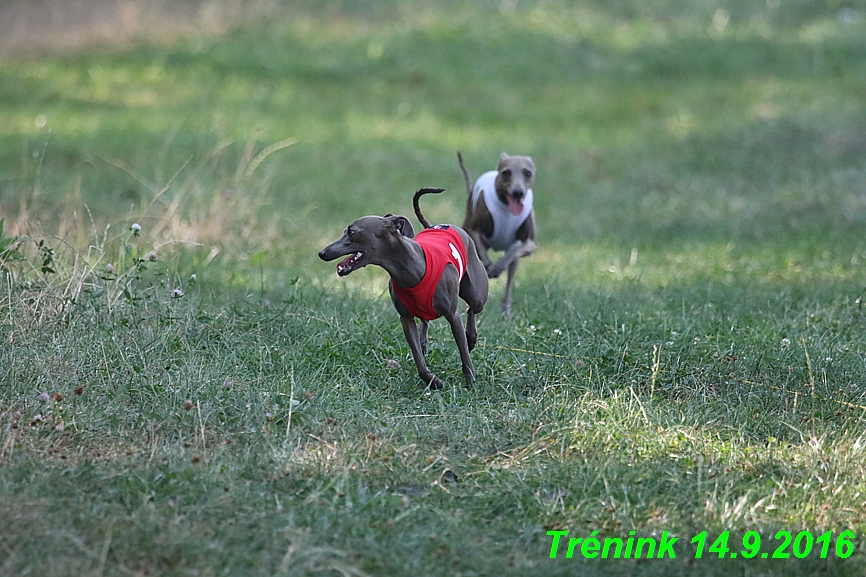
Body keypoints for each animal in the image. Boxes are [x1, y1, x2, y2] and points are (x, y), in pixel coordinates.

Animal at [320, 188, 490, 388]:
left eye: (351, 231)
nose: (322, 253)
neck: (411, 270)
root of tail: (436, 226)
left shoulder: (452, 316)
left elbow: (464, 354)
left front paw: (470, 382)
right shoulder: (406, 319)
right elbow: (419, 361)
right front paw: (434, 381)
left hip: (476, 293)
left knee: (472, 307)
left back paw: (471, 336)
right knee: (426, 319)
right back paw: (425, 341)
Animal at [456, 152, 536, 316]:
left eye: (528, 173)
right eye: (506, 172)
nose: (518, 193)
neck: (506, 206)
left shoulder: (530, 243)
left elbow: (515, 249)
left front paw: (498, 266)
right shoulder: (474, 232)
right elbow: (481, 253)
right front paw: (489, 267)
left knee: (510, 277)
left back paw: (505, 311)